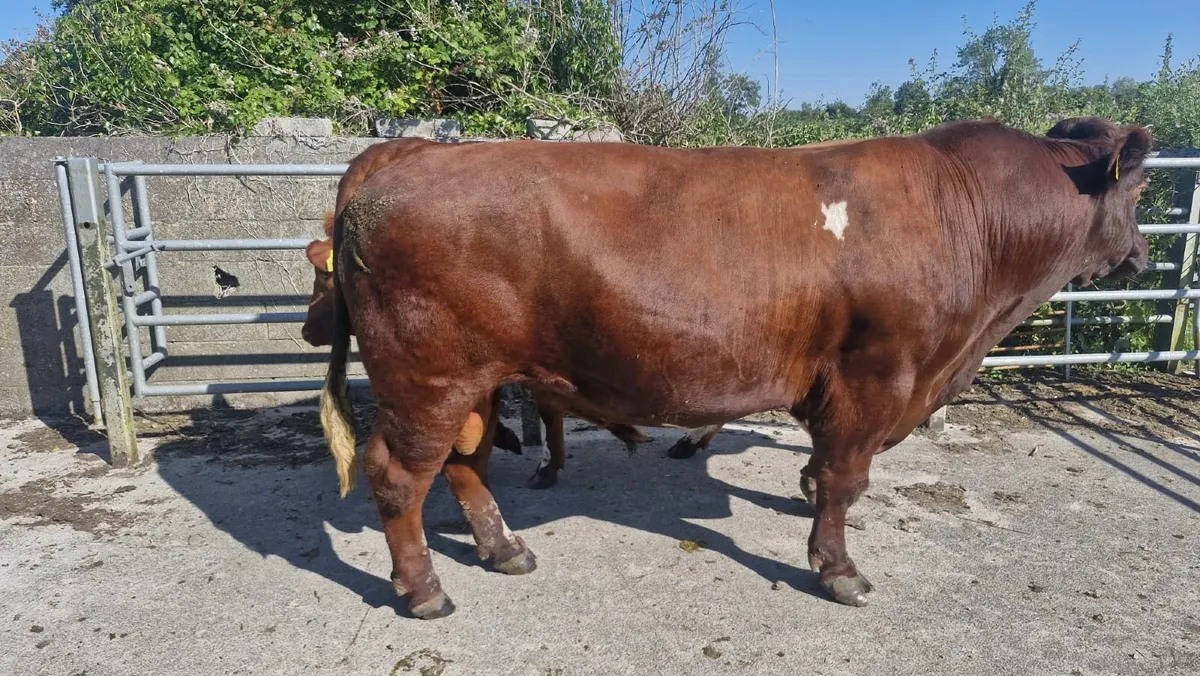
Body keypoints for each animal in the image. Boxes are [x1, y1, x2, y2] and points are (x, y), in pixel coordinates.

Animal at [318, 117, 1150, 619]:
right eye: (1141, 188)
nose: (1143, 254)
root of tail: (414, 151)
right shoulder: (877, 374)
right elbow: (845, 476)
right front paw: (837, 569)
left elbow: (823, 469)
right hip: (427, 378)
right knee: (400, 476)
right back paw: (425, 589)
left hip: (477, 380)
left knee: (466, 464)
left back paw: (504, 551)